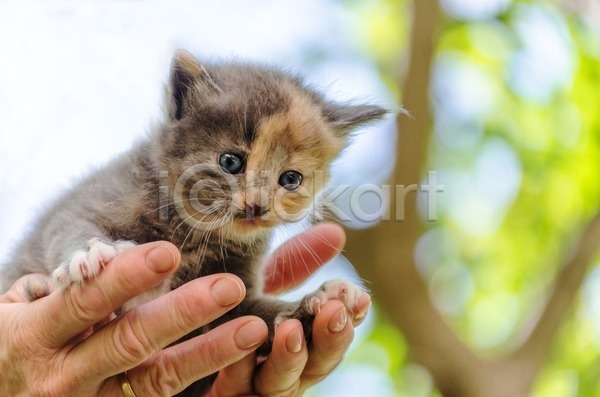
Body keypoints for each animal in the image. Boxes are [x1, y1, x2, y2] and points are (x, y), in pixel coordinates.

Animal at [2, 49, 386, 392]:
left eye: (291, 179)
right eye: (230, 162)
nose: (257, 206)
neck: (193, 230)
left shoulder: (236, 296)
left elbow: (259, 317)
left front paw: (322, 298)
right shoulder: (87, 202)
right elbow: (67, 227)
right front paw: (91, 253)